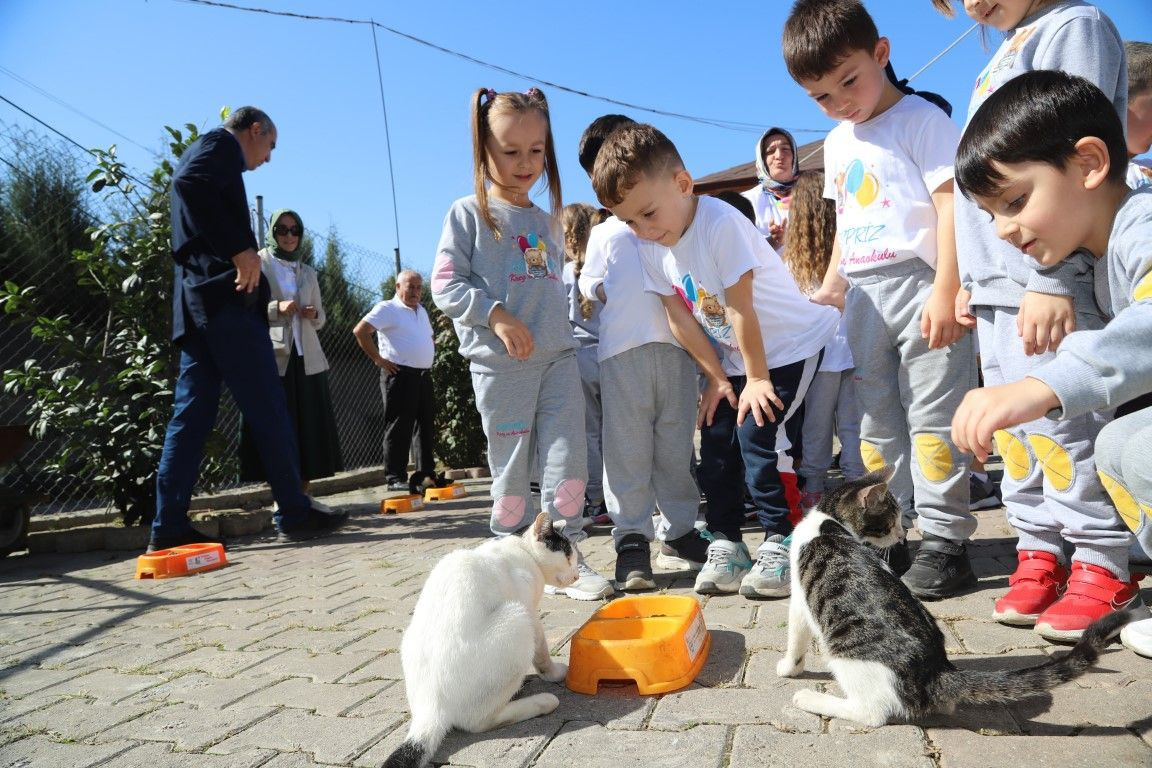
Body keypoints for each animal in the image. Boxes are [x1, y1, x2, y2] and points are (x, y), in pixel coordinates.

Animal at [384, 511, 580, 768]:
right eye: (568, 556)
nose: (577, 574)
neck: (521, 550)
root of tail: (431, 707)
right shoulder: (531, 613)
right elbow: (542, 653)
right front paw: (554, 673)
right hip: (517, 619)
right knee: (477, 722)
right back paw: (541, 702)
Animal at [774, 469, 1133, 727]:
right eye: (890, 520)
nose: (902, 535)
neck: (829, 521)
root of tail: (936, 671)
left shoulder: (800, 599)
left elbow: (795, 637)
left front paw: (788, 668)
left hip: (847, 657)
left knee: (871, 713)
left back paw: (811, 699)